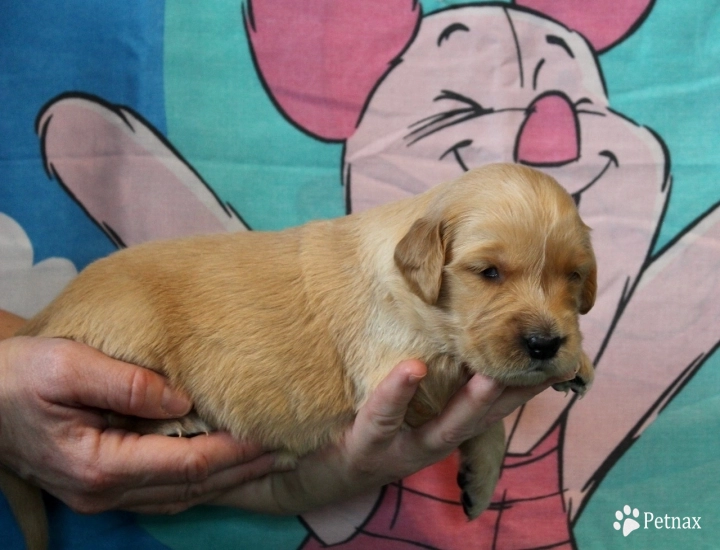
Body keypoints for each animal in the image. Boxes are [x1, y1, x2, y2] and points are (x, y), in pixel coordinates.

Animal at [0, 165, 596, 550]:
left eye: (573, 277)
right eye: (488, 272)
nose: (546, 344)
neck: (411, 289)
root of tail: (42, 318)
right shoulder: (402, 369)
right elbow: (473, 390)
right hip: (128, 335)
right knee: (122, 412)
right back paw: (176, 423)